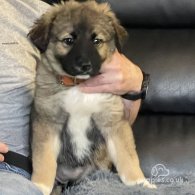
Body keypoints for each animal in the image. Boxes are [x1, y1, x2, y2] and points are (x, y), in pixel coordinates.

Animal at [28, 0, 155, 194]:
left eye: (97, 41)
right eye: (68, 40)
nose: (85, 65)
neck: (78, 86)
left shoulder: (113, 121)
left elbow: (127, 156)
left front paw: (140, 183)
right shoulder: (47, 122)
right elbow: (44, 160)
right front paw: (39, 186)